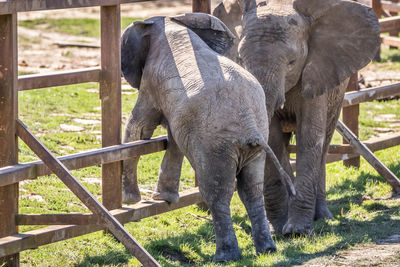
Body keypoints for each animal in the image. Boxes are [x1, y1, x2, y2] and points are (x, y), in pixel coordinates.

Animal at [119, 13, 294, 262]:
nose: (133, 199)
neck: (171, 22)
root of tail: (249, 127)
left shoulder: (151, 81)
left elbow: (140, 127)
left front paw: (131, 200)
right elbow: (172, 140)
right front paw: (162, 198)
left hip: (216, 147)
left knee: (216, 194)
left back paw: (224, 257)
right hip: (256, 143)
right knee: (251, 189)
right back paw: (267, 249)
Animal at [214, 0, 380, 234]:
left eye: (292, 62)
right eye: (240, 59)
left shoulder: (317, 72)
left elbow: (310, 136)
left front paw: (297, 230)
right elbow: (272, 139)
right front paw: (280, 227)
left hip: (337, 93)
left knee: (324, 142)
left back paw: (322, 217)